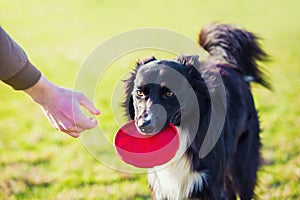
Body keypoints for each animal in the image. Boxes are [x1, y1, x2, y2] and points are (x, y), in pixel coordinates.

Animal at [122, 23, 270, 198]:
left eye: (169, 93)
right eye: (139, 93)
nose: (144, 126)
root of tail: (226, 62)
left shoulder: (210, 183)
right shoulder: (161, 187)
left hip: (243, 165)